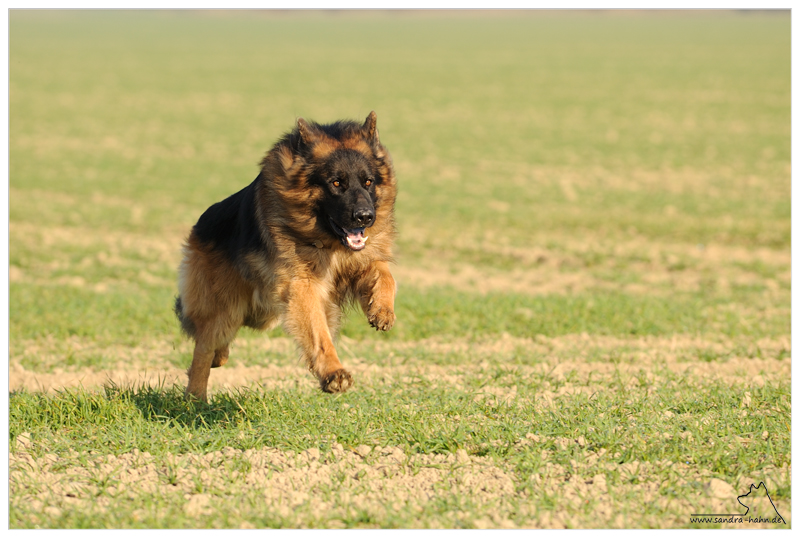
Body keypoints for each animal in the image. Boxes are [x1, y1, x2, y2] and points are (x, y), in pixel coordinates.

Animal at [177, 111, 396, 400]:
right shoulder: (302, 285)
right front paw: (334, 374)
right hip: (224, 309)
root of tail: (199, 225)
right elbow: (319, 335)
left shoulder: (360, 261)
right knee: (204, 347)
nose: (365, 217)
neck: (329, 242)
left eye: (368, 182)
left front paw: (382, 310)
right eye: (336, 183)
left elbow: (386, 274)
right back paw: (196, 398)